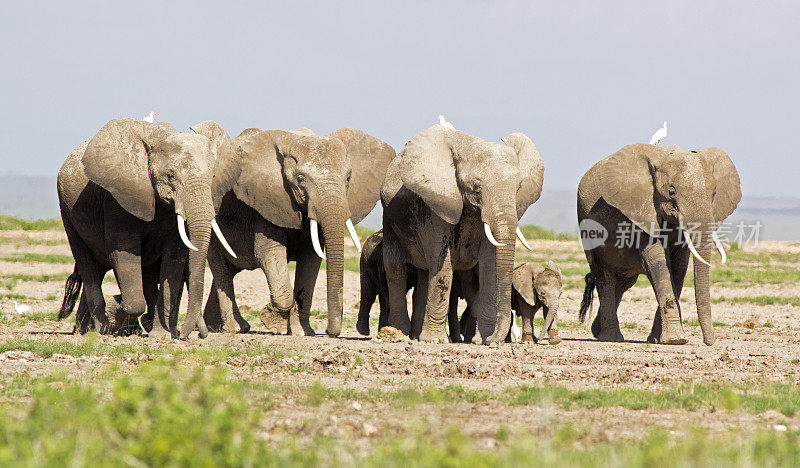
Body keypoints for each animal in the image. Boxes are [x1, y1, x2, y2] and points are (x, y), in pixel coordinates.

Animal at [56, 119, 238, 338]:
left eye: (212, 176)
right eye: (170, 175)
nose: (186, 335)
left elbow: (173, 257)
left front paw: (162, 335)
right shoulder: (118, 198)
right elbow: (124, 252)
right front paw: (116, 307)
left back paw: (90, 330)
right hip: (67, 210)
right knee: (88, 265)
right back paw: (102, 328)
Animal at [191, 123, 396, 336]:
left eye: (348, 177)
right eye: (300, 178)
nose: (330, 332)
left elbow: (311, 258)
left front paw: (303, 332)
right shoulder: (266, 201)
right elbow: (269, 253)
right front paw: (273, 322)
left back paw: (216, 327)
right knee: (221, 268)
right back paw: (237, 329)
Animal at [382, 124, 544, 344]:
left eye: (518, 187)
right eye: (476, 187)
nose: (494, 340)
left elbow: (489, 263)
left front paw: (481, 340)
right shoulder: (439, 203)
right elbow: (442, 264)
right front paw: (435, 341)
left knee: (425, 273)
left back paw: (416, 335)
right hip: (389, 218)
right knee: (395, 269)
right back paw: (401, 333)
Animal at [580, 144, 740, 346]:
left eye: (714, 194)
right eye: (671, 191)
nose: (709, 341)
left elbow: (679, 267)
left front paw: (659, 339)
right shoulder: (641, 210)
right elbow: (658, 263)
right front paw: (675, 340)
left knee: (624, 282)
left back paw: (597, 330)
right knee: (604, 278)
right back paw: (610, 338)